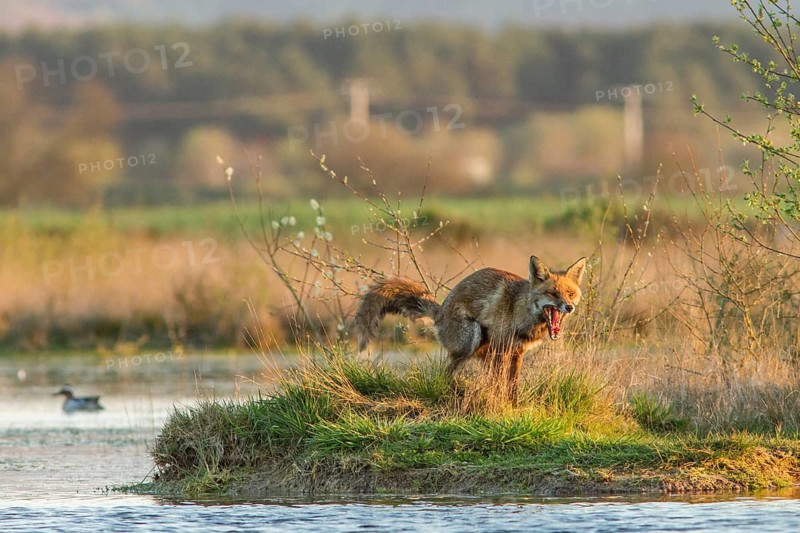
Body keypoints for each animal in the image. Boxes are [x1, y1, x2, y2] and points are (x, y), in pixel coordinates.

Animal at [354, 255, 587, 403]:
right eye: (552, 294)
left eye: (570, 293)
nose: (569, 307)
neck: (521, 310)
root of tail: (440, 312)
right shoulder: (502, 349)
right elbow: (501, 384)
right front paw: (501, 406)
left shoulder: (516, 352)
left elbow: (512, 386)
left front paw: (513, 407)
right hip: (471, 341)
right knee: (445, 373)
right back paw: (450, 392)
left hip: (485, 352)